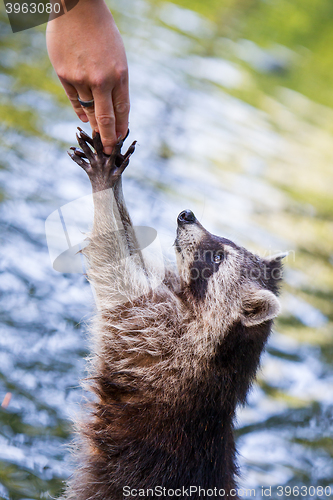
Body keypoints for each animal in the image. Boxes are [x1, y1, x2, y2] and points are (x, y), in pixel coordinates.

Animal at [63, 131, 284, 500]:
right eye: (223, 242)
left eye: (218, 258)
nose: (186, 215)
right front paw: (115, 179)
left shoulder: (160, 346)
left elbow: (115, 271)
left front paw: (104, 183)